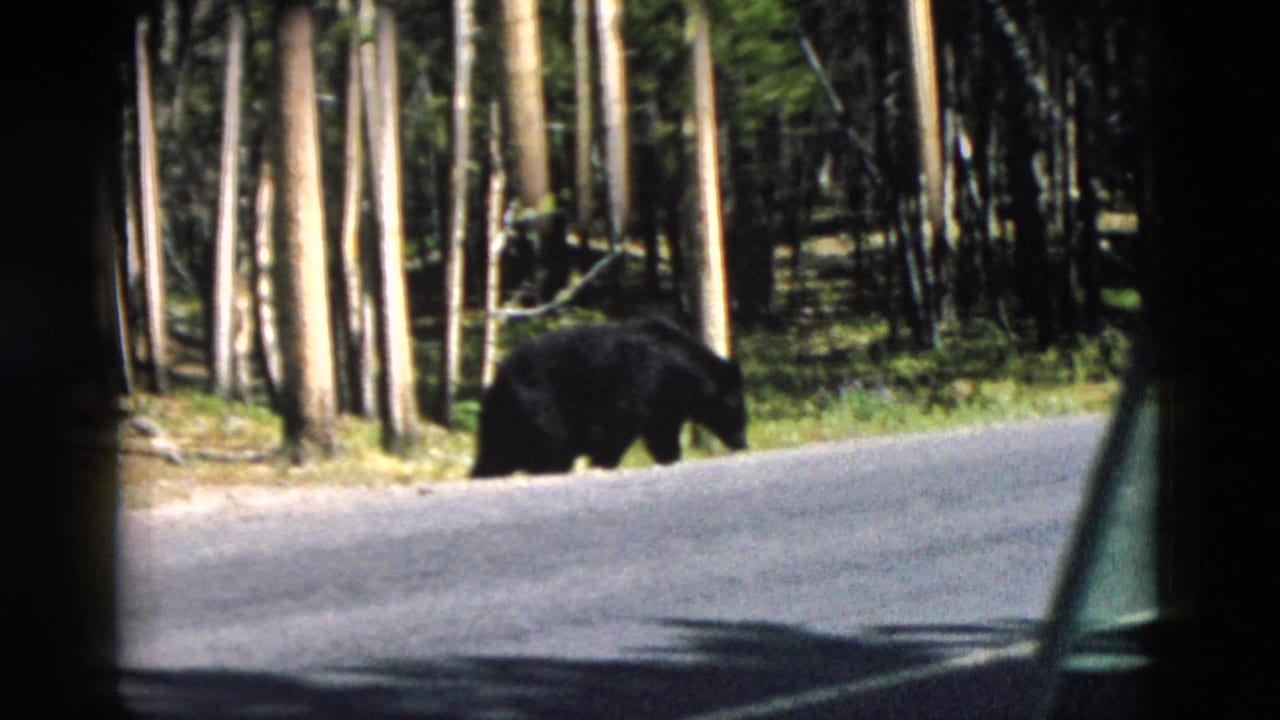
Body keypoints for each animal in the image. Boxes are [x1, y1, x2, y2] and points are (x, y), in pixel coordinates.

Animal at [470, 317, 748, 478]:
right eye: (739, 413)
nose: (743, 444)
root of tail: (497, 382)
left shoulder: (664, 401)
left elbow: (662, 433)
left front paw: (670, 457)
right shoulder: (639, 380)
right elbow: (616, 426)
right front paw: (604, 461)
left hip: (504, 422)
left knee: (496, 453)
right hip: (538, 405)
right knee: (550, 442)